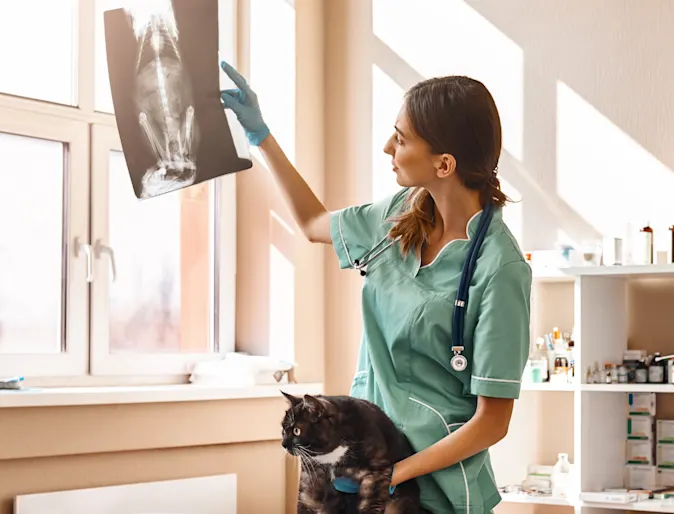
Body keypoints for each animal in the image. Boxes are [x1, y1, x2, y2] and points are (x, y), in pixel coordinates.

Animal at [280, 390, 430, 510]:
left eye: (296, 431)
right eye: (283, 429)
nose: (283, 444)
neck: (331, 458)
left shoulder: (377, 474)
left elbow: (370, 504)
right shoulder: (311, 475)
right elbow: (307, 500)